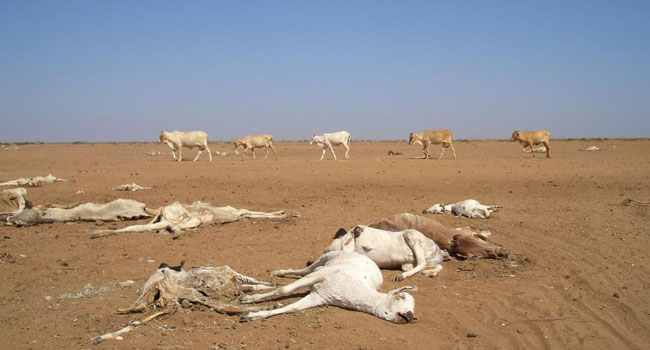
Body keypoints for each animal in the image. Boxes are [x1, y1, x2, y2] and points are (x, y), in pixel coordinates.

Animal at [239, 252, 416, 322]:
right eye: (400, 297)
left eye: (413, 310)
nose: (409, 316)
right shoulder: (322, 276)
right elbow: (284, 290)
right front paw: (248, 299)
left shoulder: (322, 296)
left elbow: (292, 308)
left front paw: (250, 316)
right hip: (323, 260)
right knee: (303, 270)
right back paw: (279, 272)